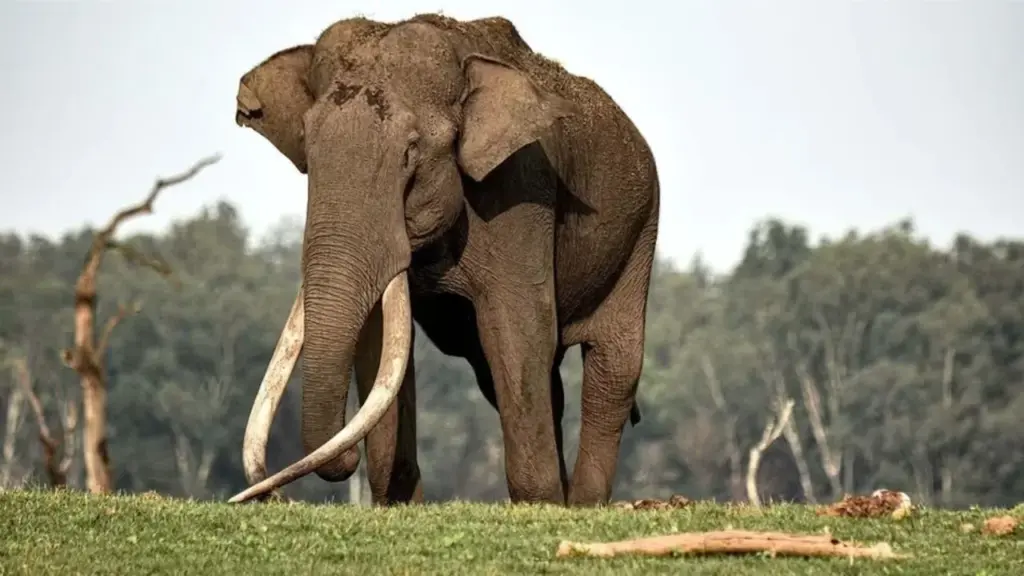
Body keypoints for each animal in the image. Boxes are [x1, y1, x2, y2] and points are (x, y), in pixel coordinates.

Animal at [229, 14, 660, 507]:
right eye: (307, 144)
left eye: (410, 152)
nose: (270, 493)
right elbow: (382, 342)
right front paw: (396, 503)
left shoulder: (519, 188)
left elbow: (517, 331)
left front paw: (539, 505)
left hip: (640, 232)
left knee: (613, 368)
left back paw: (583, 505)